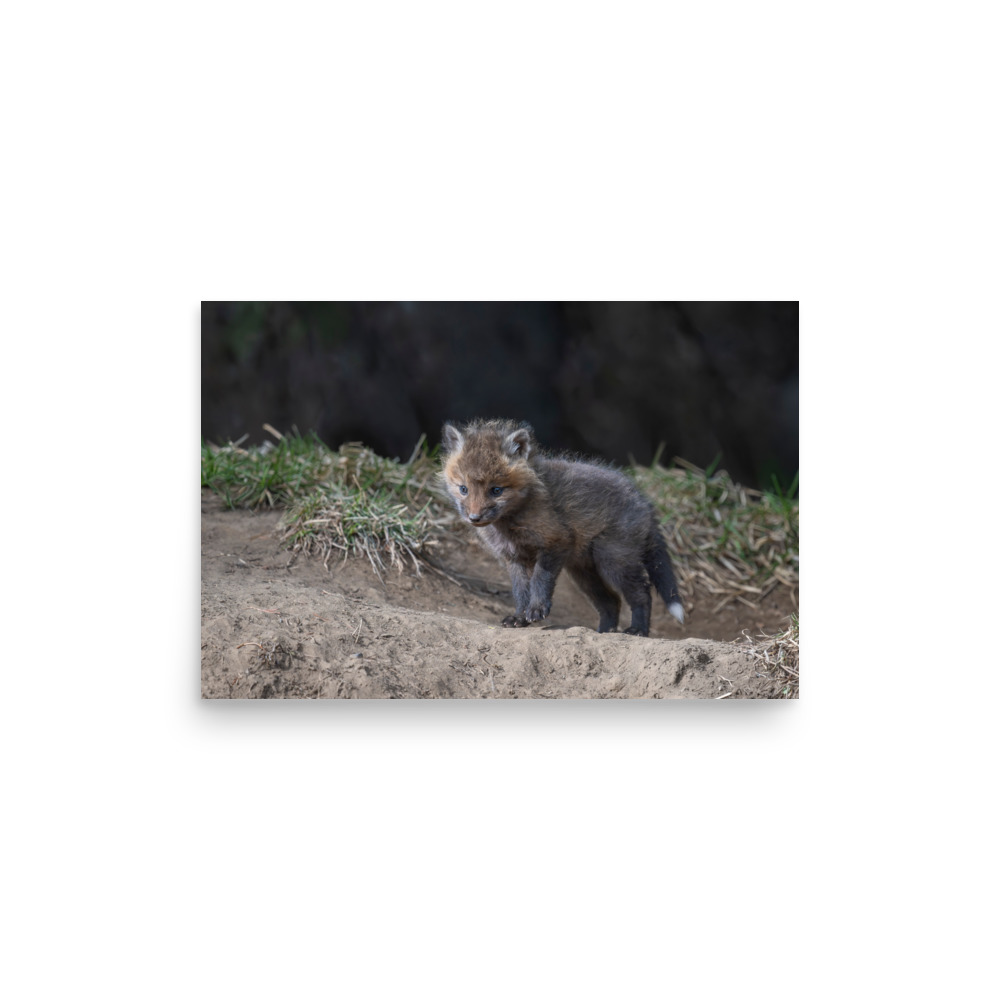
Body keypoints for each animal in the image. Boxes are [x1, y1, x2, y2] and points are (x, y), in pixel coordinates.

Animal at [440, 418, 684, 636]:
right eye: (463, 489)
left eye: (496, 490)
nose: (474, 517)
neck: (510, 525)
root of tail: (644, 501)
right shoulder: (514, 557)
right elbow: (520, 591)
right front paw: (519, 617)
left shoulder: (556, 542)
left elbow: (540, 579)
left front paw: (537, 609)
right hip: (584, 573)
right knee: (611, 601)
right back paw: (604, 632)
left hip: (613, 561)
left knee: (642, 593)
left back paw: (638, 630)